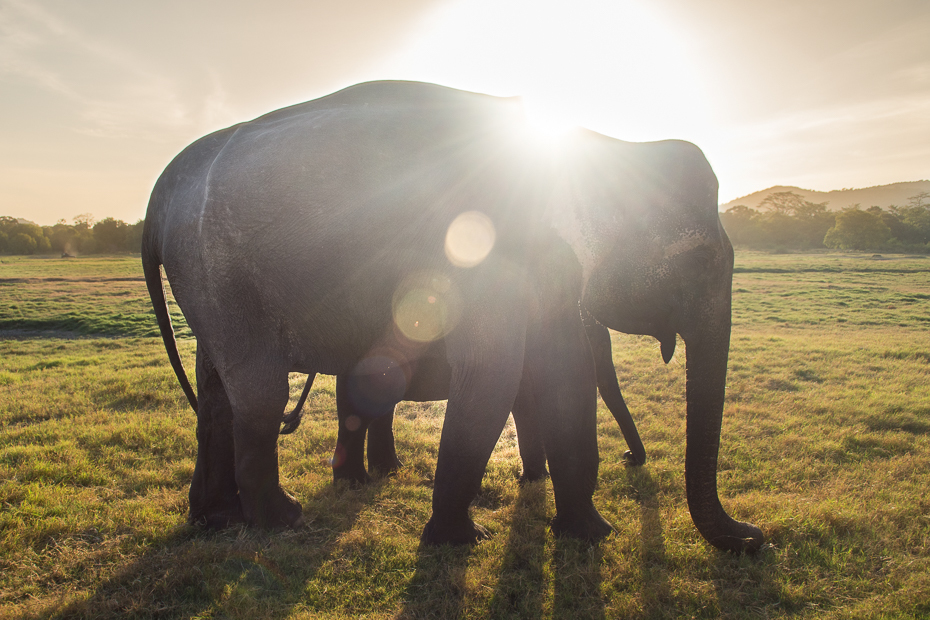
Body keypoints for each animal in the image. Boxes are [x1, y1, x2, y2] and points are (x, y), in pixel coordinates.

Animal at [280, 308, 644, 486]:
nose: (627, 458)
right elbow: (524, 404)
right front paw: (531, 480)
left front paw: (532, 480)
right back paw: (360, 482)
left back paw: (390, 472)